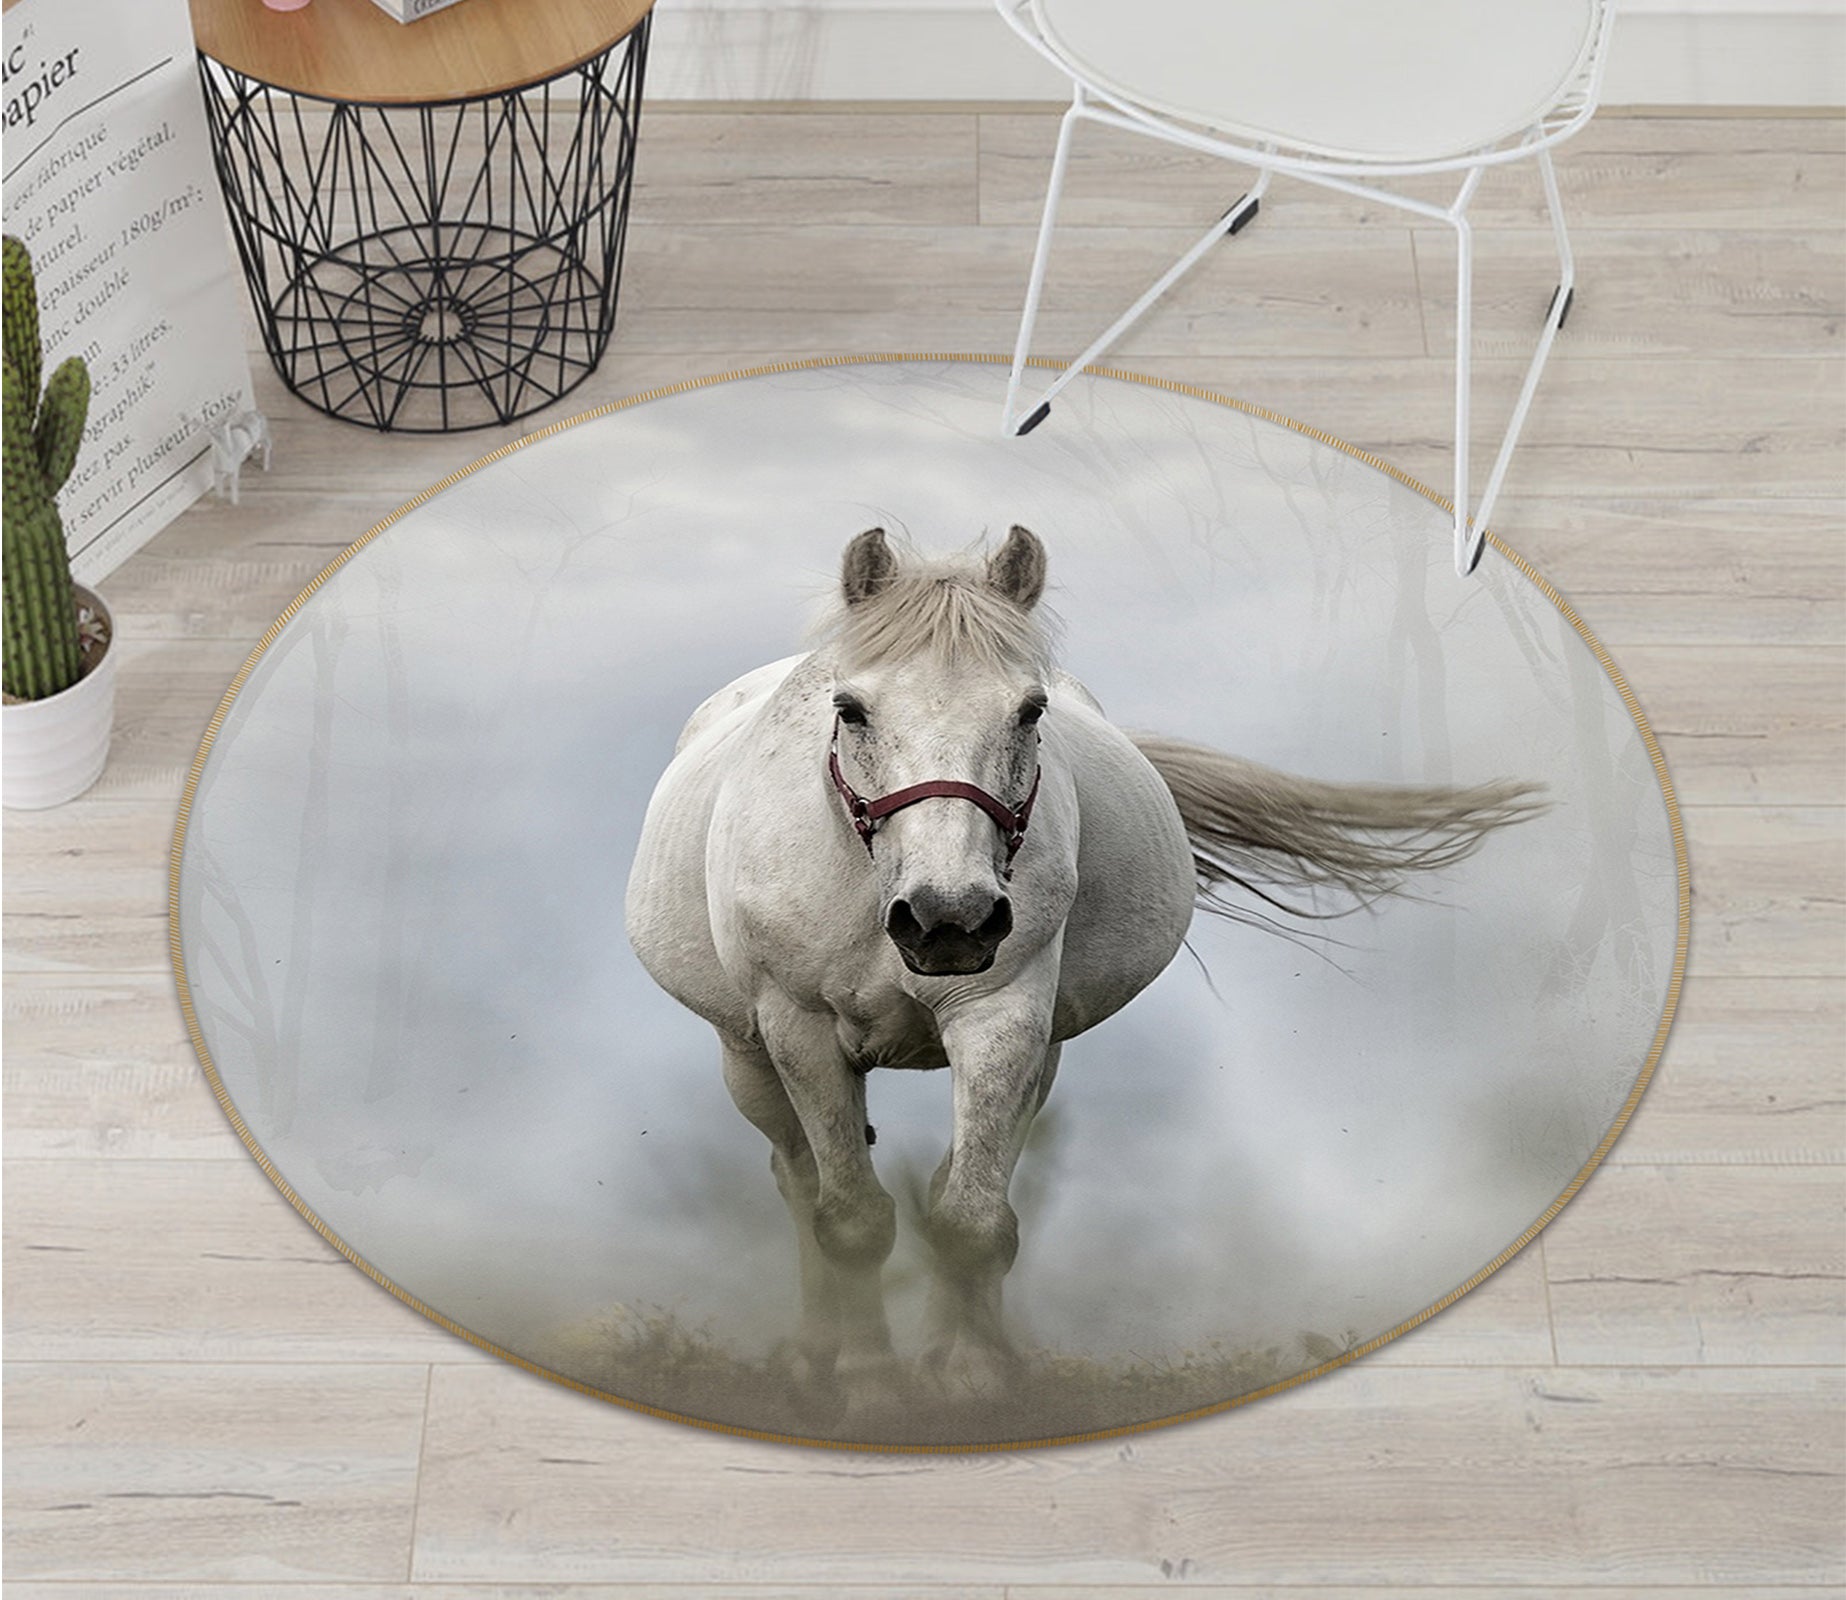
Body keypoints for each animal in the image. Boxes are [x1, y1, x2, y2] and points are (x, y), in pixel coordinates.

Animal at [625, 525, 1542, 1417]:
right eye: (850, 710)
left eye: (1030, 710)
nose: (948, 919)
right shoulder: (802, 1030)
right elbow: (850, 1219)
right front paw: (871, 1384)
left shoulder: (1005, 1018)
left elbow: (971, 1219)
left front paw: (971, 1378)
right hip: (749, 1057)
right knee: (798, 1181)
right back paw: (815, 1359)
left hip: (1041, 1055)